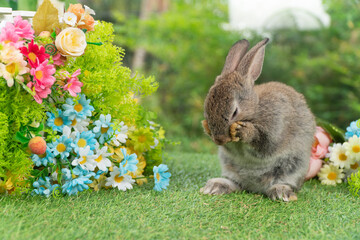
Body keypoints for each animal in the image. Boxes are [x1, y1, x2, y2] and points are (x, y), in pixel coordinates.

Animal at [200, 39, 316, 201]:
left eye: (235, 112)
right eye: (207, 108)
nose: (219, 140)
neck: (255, 110)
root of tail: (254, 187)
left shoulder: (275, 129)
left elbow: (264, 144)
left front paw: (244, 131)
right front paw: (206, 127)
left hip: (292, 167)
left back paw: (281, 193)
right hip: (230, 168)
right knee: (236, 184)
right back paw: (214, 186)